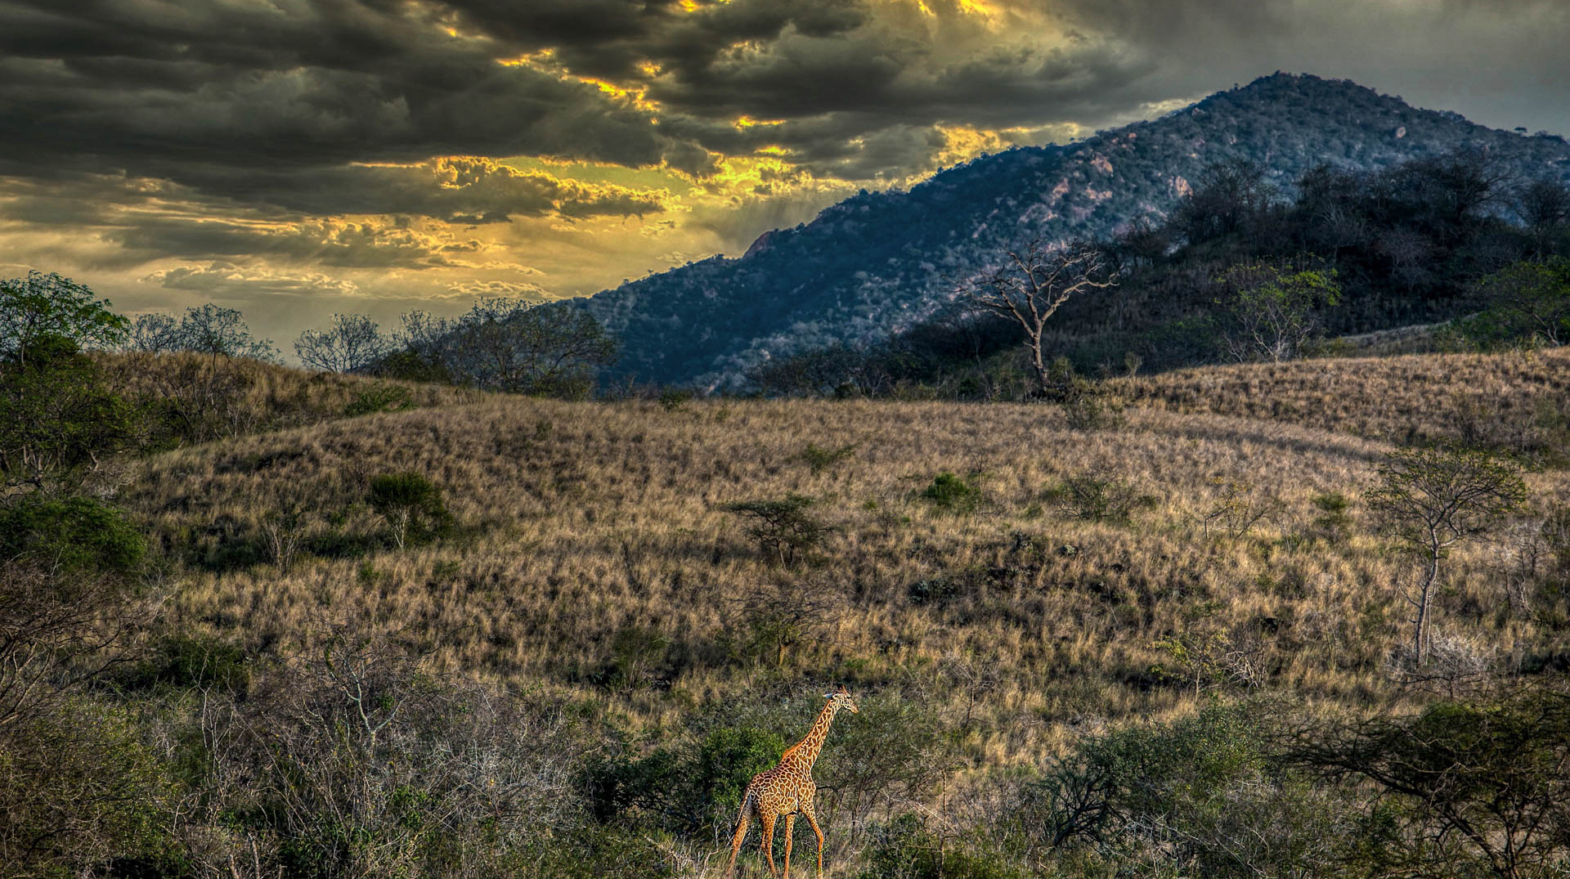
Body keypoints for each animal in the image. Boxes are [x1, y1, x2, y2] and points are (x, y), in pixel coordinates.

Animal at [724, 685, 859, 879]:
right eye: (848, 697)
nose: (856, 709)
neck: (807, 760)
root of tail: (750, 789)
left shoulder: (791, 811)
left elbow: (789, 844)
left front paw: (786, 874)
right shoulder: (807, 803)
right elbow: (820, 836)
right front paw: (819, 874)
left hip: (749, 810)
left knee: (737, 839)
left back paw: (727, 873)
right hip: (769, 814)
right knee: (766, 843)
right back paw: (773, 873)